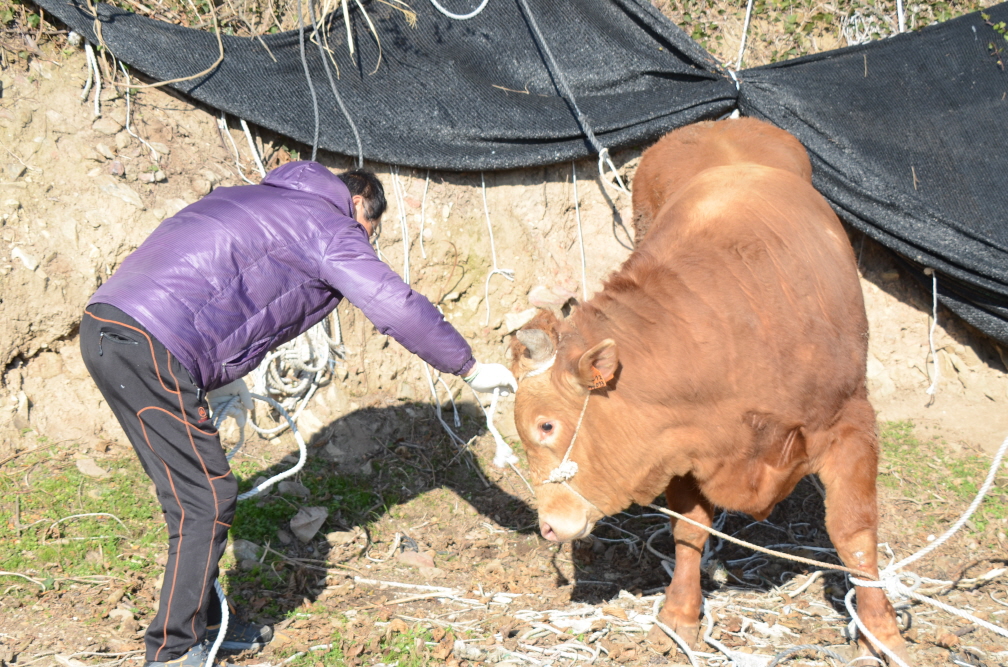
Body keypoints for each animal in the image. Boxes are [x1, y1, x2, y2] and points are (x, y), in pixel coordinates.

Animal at [508, 118, 911, 664]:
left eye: (547, 425)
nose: (547, 527)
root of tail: (720, 123)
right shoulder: (682, 444)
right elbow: (689, 529)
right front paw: (679, 614)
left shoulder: (851, 423)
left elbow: (855, 534)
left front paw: (882, 631)